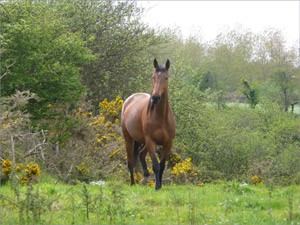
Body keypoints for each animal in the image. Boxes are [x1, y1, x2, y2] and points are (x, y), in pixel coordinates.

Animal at [120, 58, 175, 190]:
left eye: (166, 77)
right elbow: (156, 165)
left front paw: (159, 184)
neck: (161, 118)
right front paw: (157, 186)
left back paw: (145, 176)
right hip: (129, 139)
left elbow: (162, 165)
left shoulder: (167, 143)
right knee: (130, 162)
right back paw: (133, 182)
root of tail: (130, 99)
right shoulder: (151, 141)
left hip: (143, 141)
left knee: (140, 155)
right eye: (153, 77)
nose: (155, 97)